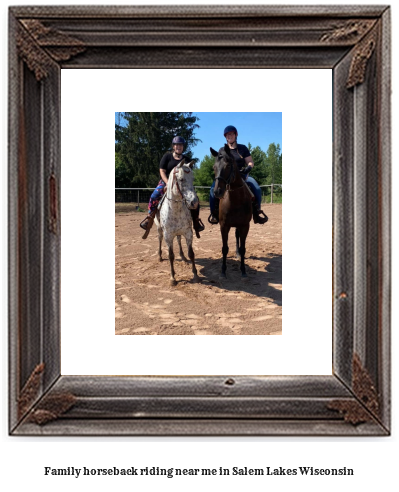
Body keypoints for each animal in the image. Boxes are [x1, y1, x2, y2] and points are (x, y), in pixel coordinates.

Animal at [211, 144, 252, 278]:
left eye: (228, 166)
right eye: (214, 167)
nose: (217, 192)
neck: (236, 200)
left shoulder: (245, 226)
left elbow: (243, 248)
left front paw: (243, 270)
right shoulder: (224, 226)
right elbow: (224, 248)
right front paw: (223, 271)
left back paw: (238, 254)